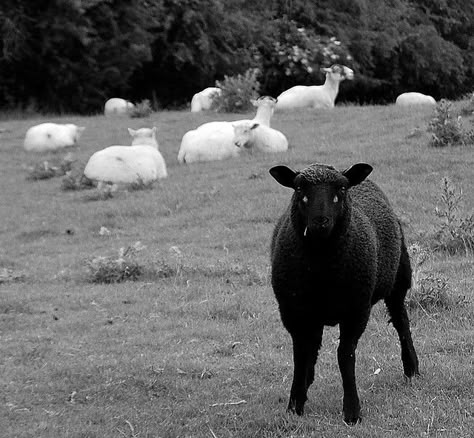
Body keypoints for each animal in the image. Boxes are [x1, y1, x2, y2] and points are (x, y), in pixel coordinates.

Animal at [268, 162, 420, 424]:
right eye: (299, 188)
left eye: (341, 189)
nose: (320, 221)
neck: (321, 266)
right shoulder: (293, 312)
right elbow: (300, 355)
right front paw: (295, 404)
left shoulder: (356, 310)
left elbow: (345, 356)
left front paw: (352, 411)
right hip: (314, 310)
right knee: (313, 345)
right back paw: (308, 381)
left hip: (399, 277)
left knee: (401, 321)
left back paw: (412, 368)